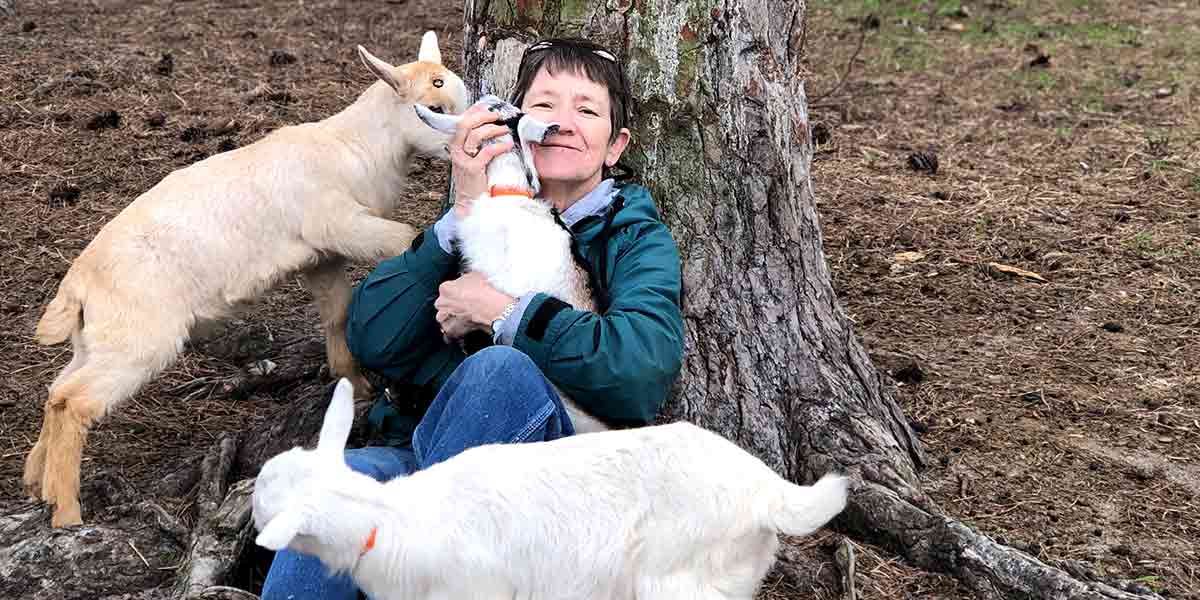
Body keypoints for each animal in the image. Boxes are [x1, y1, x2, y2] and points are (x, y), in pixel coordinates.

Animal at [22, 34, 468, 530]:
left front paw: (353, 382)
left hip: (99, 337)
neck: (354, 146)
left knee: (56, 390)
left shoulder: (321, 256)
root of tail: (78, 282)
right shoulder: (339, 224)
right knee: (74, 403)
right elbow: (403, 238)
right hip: (140, 339)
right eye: (433, 106)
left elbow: (336, 314)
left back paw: (36, 483)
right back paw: (66, 511)